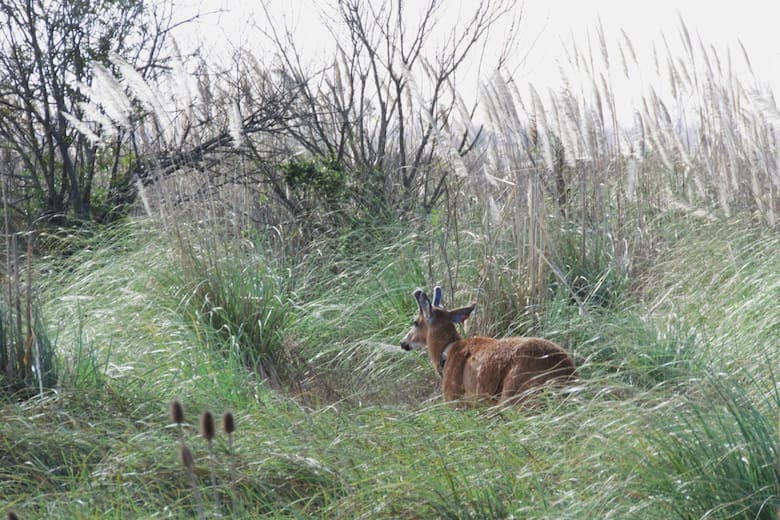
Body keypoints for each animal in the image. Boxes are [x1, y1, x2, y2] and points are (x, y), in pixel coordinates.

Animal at [400, 287, 578, 404]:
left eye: (415, 322)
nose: (403, 342)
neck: (447, 352)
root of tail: (566, 373)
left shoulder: (455, 398)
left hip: (515, 392)